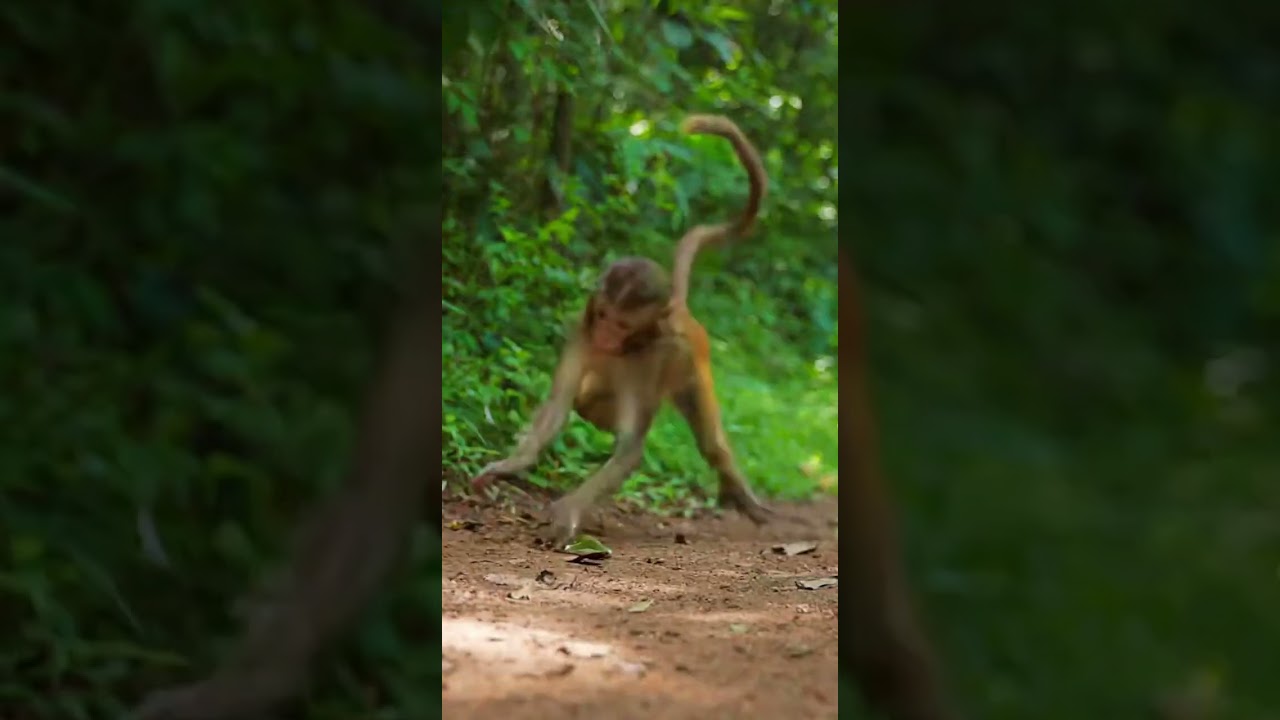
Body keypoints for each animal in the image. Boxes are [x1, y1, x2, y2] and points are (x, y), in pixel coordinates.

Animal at [470, 114, 773, 547]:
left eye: (622, 324)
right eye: (603, 315)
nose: (605, 337)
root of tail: (680, 309)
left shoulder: (650, 359)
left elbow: (630, 448)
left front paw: (568, 511)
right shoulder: (579, 335)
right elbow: (558, 408)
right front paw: (510, 465)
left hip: (692, 363)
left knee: (710, 443)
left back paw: (738, 493)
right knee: (586, 400)